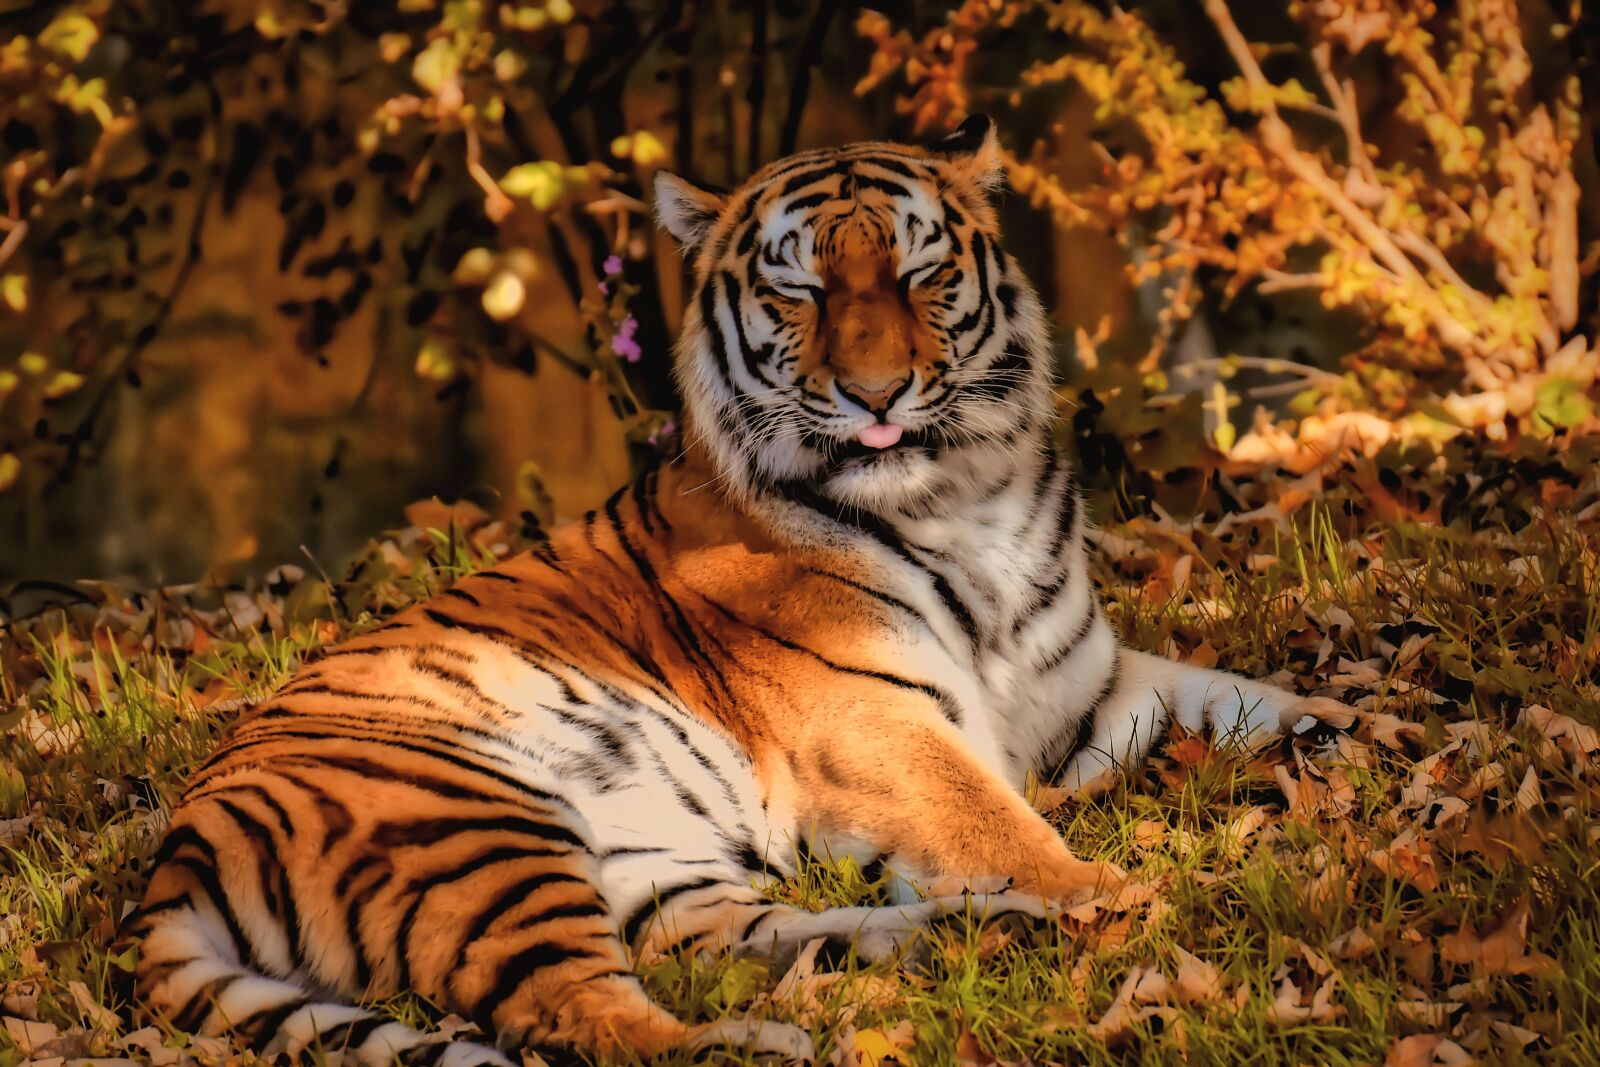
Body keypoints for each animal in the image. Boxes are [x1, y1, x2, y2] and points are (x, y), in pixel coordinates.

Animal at [129, 116, 1346, 1065]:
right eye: (799, 288)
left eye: (920, 274)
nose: (874, 393)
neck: (969, 496)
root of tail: (178, 849)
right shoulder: (875, 722)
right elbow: (995, 823)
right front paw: (1122, 898)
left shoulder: (1084, 689)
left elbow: (1251, 696)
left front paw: (1357, 735)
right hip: (471, 823)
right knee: (584, 1013)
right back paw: (789, 1027)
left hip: (646, 859)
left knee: (734, 939)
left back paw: (958, 940)